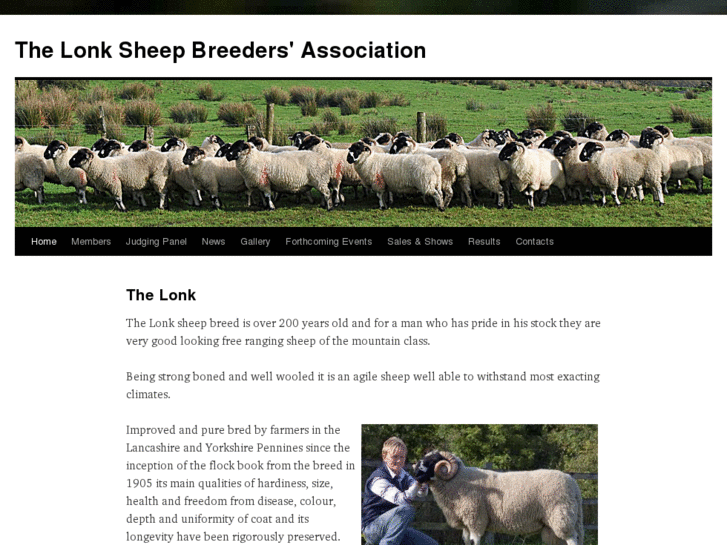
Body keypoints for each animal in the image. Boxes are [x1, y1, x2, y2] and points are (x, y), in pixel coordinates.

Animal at [413, 451, 583, 545]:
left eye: (432, 461)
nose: (416, 475)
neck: (460, 481)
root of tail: (573, 483)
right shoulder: (466, 524)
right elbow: (466, 541)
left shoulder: (476, 519)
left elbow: (475, 541)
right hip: (553, 525)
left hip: (561, 517)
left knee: (572, 539)